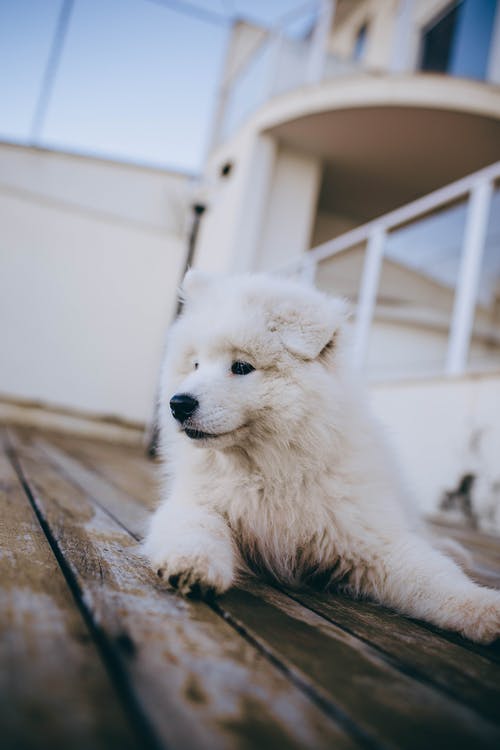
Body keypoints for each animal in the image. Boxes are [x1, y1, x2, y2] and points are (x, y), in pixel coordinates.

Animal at [143, 270, 498, 648]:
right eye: (195, 364)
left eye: (241, 367)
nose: (178, 403)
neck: (268, 470)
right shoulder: (197, 501)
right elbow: (195, 526)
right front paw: (191, 564)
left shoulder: (371, 538)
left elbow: (434, 576)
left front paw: (483, 608)